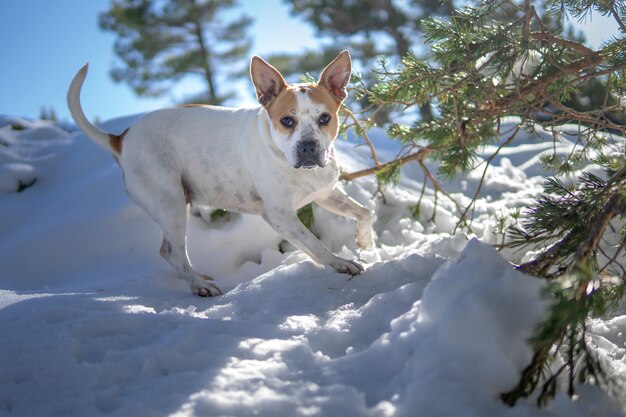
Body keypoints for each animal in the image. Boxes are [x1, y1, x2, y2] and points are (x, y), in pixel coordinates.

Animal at [68, 49, 372, 296]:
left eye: (325, 118)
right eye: (287, 121)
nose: (308, 147)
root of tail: (122, 137)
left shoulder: (325, 194)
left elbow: (364, 212)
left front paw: (366, 243)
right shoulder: (280, 216)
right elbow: (315, 243)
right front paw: (340, 263)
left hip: (176, 205)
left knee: (167, 251)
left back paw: (197, 277)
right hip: (170, 203)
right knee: (175, 253)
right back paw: (199, 286)